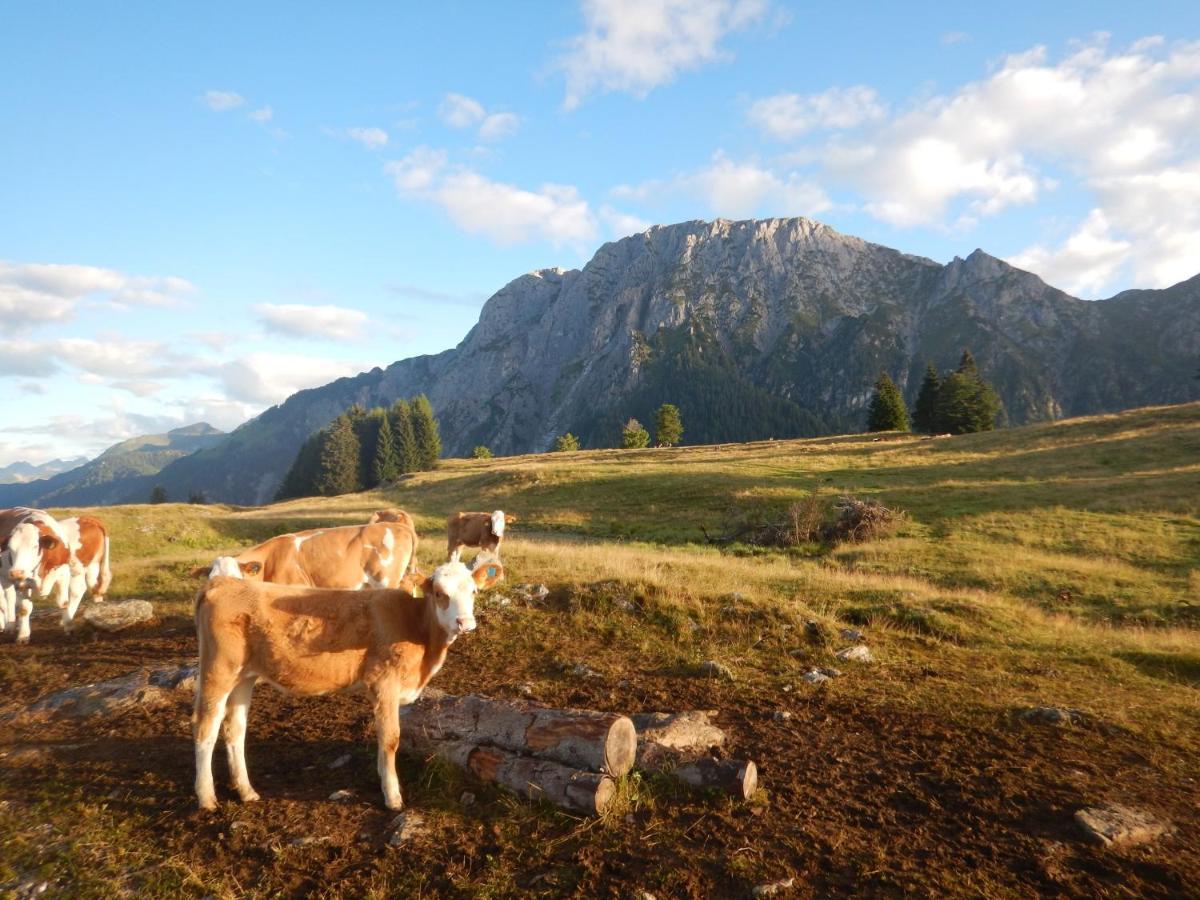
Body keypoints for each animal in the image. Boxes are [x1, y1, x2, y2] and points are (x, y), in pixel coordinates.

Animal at [0, 511, 78, 643]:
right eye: (9, 548)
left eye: (35, 546)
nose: (16, 572)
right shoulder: (21, 583)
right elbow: (24, 608)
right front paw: (23, 635)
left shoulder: (63, 574)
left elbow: (63, 603)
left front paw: (69, 627)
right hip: (4, 578)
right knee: (9, 599)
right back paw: (9, 626)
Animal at [194, 556, 504, 811]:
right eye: (440, 594)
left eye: (474, 592)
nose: (465, 623)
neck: (417, 628)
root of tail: (221, 583)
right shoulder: (385, 685)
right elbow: (390, 739)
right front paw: (393, 797)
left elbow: (381, 740)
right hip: (217, 670)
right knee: (205, 729)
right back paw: (207, 798)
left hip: (243, 677)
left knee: (235, 729)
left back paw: (246, 792)